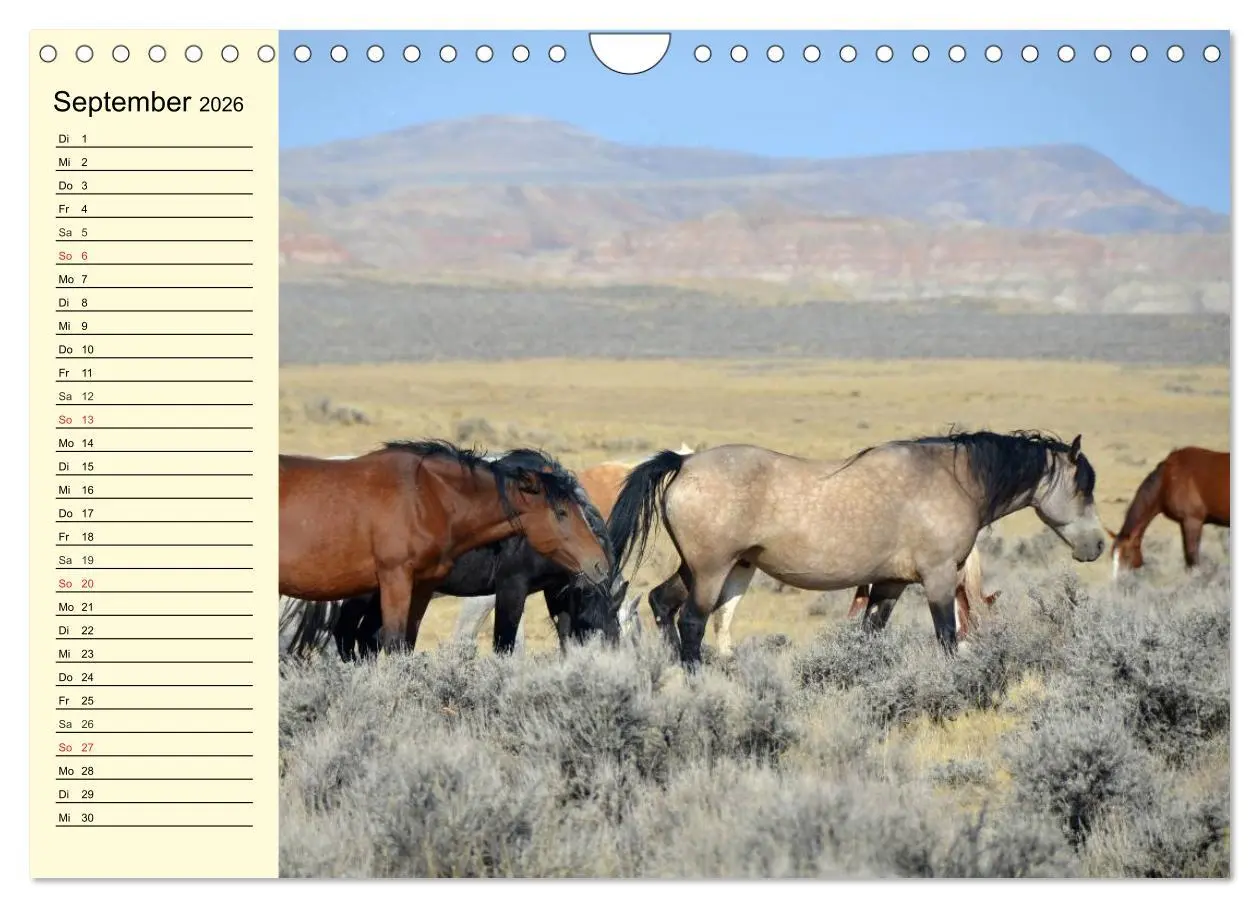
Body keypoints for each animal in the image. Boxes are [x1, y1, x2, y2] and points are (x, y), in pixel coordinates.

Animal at [609, 430, 1105, 668]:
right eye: (1084, 486)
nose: (1098, 545)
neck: (952, 479)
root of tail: (684, 462)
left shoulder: (889, 585)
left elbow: (869, 636)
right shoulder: (939, 579)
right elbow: (948, 636)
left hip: (700, 568)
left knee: (662, 603)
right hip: (712, 571)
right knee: (692, 622)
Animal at [1109, 446, 1230, 578]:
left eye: (1126, 555)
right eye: (1111, 556)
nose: (1118, 580)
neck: (1168, 479)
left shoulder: (1193, 522)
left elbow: (1192, 558)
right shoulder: (1184, 523)